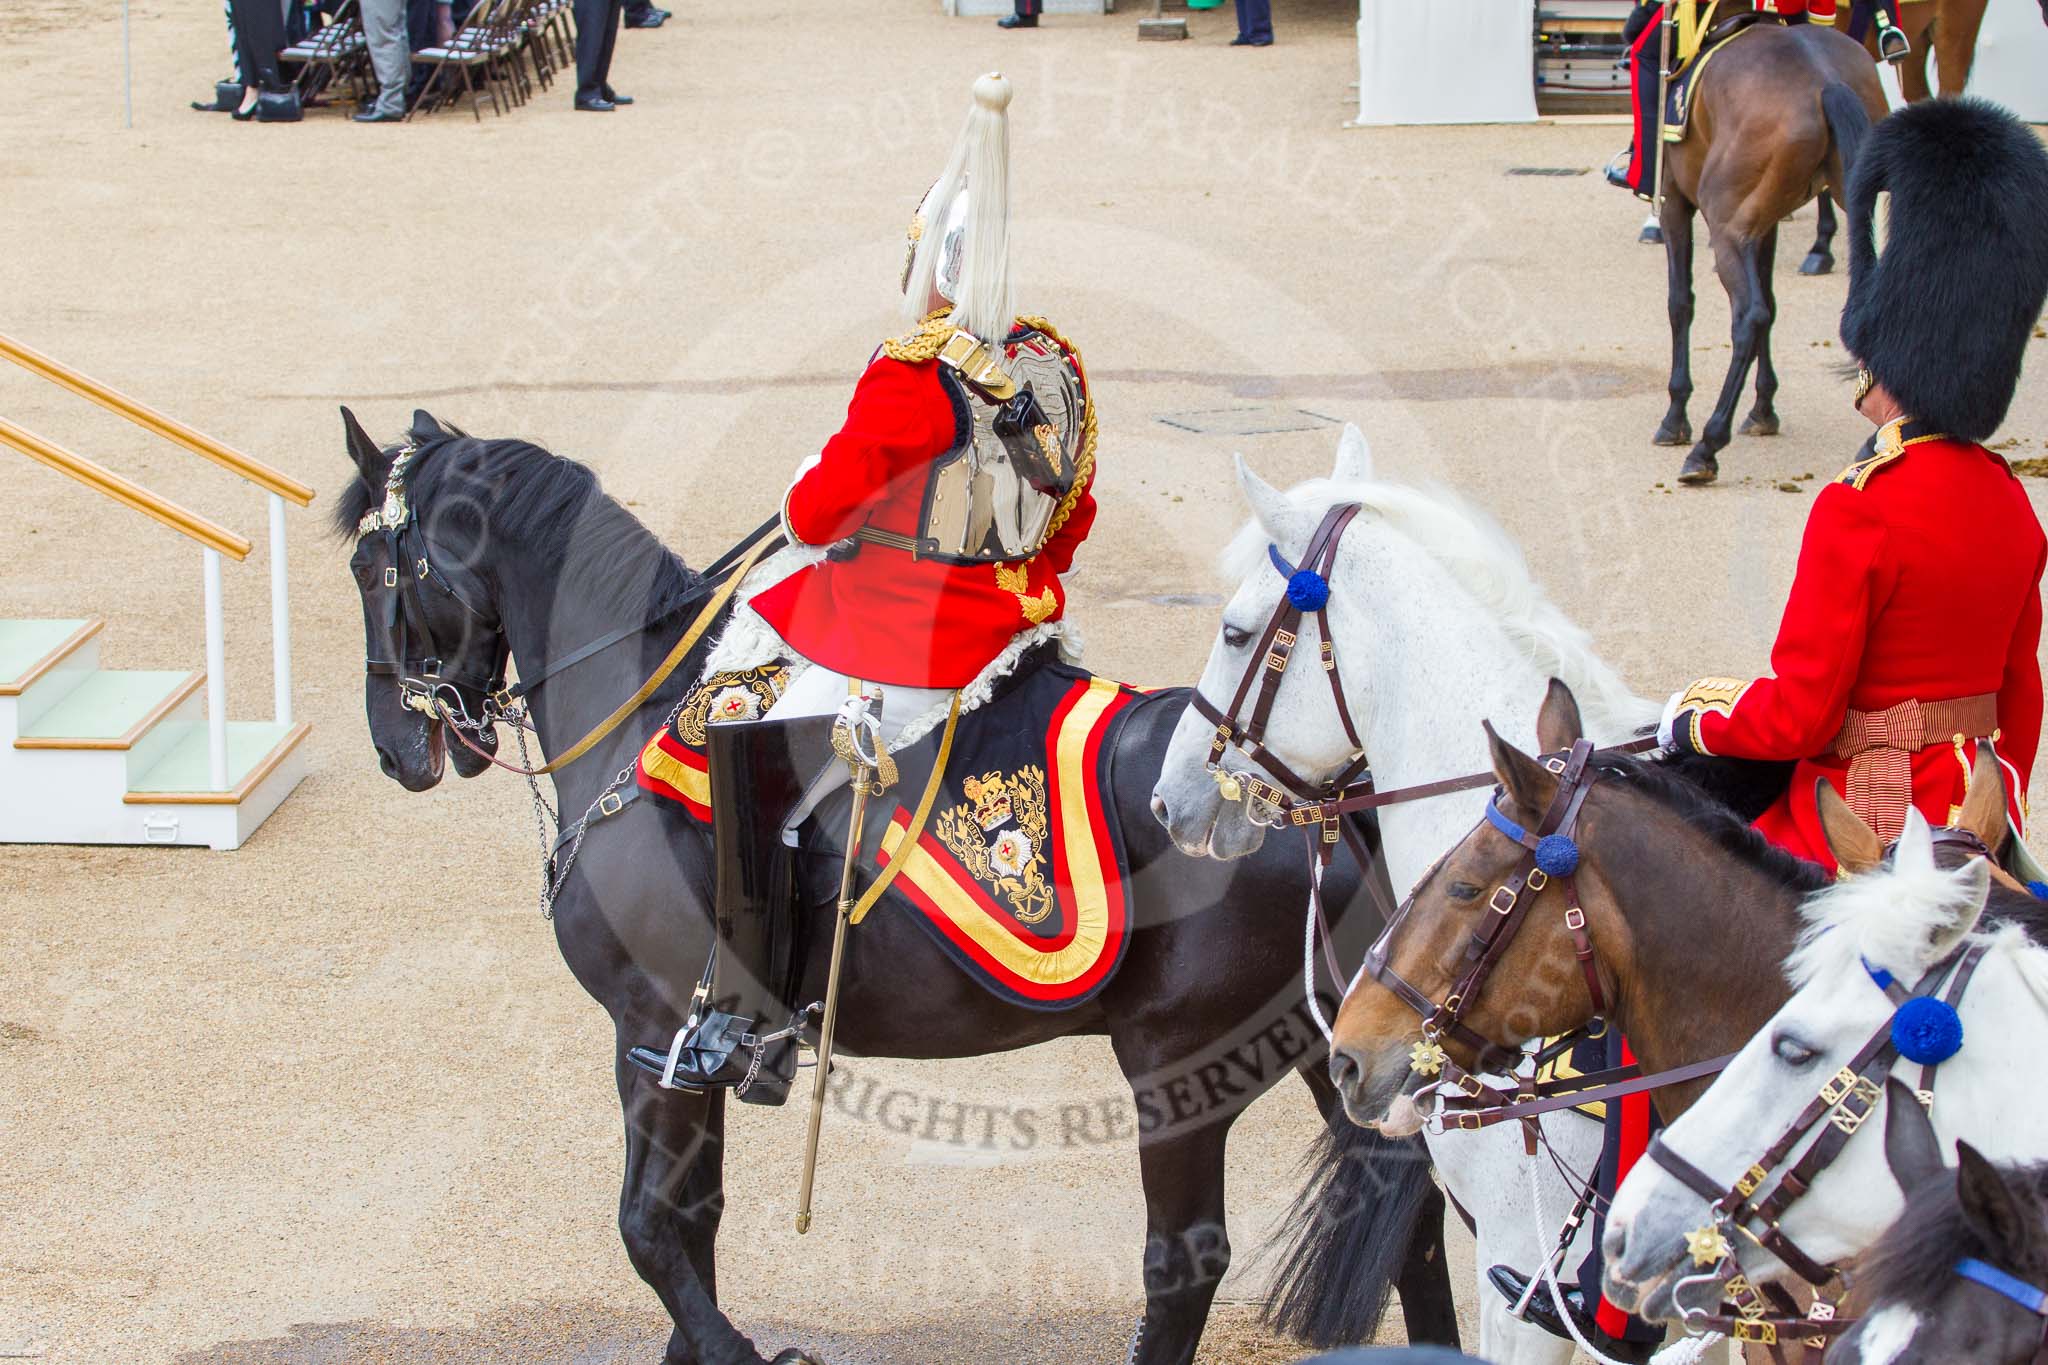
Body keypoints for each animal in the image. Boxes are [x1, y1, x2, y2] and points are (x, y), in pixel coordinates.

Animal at [332, 409, 1458, 1365]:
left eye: (366, 565)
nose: (393, 746)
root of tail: (1317, 791)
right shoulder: (689, 1043)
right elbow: (691, 1225)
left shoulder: (650, 1032)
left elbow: (647, 1228)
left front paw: (746, 1353)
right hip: (1327, 1048)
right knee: (1414, 1232)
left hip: (1179, 1065)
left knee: (1185, 1263)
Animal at [1652, 23, 1886, 485]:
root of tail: (1825, 79)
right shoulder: (1766, 224)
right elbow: (1774, 306)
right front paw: (1763, 409)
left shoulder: (1675, 203)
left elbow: (1680, 304)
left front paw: (1676, 414)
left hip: (1725, 229)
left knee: (1749, 316)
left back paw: (1708, 446)